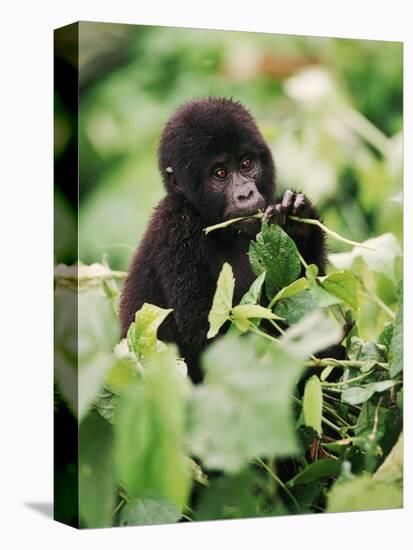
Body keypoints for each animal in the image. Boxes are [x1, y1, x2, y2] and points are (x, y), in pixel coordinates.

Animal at [118, 98, 326, 384]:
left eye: (246, 163)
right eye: (220, 173)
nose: (245, 193)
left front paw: (298, 222)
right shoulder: (175, 229)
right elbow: (215, 342)